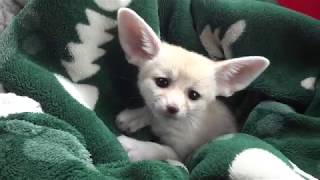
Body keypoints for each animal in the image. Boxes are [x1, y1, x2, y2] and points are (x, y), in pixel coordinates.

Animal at [115, 8, 270, 162]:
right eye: (162, 82)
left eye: (194, 95)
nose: (172, 108)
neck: (167, 124)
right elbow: (151, 110)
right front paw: (135, 116)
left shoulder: (181, 155)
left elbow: (163, 150)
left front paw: (136, 148)